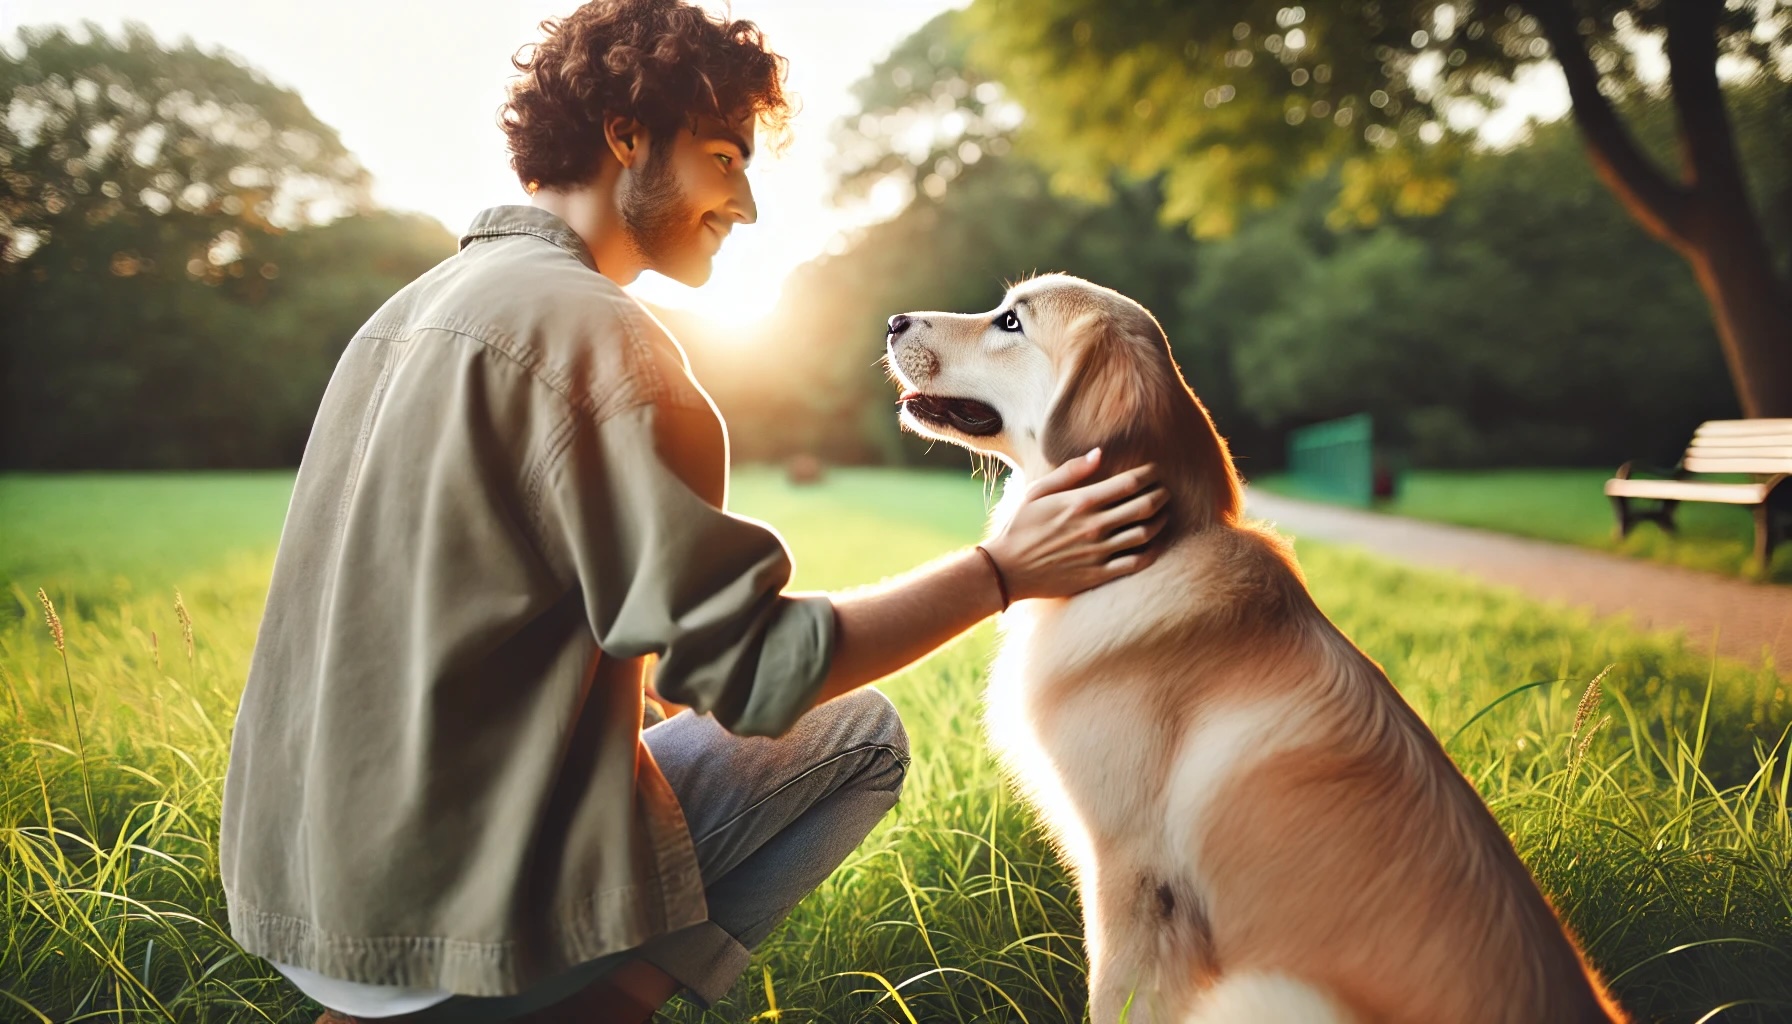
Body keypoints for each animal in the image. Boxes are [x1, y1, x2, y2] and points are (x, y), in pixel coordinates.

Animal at [881, 274, 1627, 1024]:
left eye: (1010, 323)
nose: (891, 321)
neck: (1157, 549)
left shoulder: (1130, 869)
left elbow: (1118, 995)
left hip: (1261, 990)